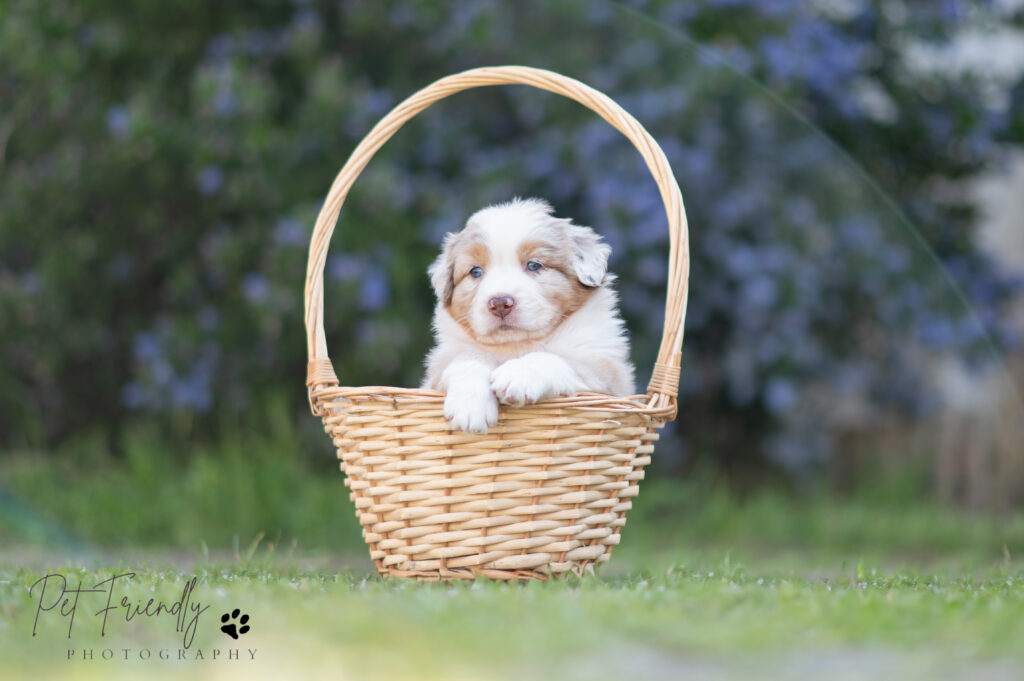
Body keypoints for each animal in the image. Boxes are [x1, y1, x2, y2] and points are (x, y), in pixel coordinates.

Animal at [421, 196, 630, 432]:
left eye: (533, 265)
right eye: (475, 271)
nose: (500, 303)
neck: (516, 345)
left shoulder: (608, 378)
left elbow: (555, 359)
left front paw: (516, 376)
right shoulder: (436, 371)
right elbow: (468, 356)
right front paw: (470, 407)